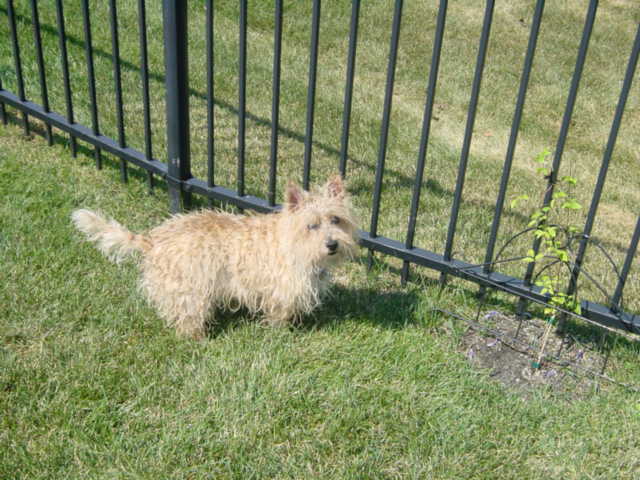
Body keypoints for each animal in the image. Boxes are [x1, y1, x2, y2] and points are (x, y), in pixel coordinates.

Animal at [74, 175, 360, 338]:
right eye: (312, 225)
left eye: (336, 219)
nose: (332, 244)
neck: (293, 242)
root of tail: (153, 240)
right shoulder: (280, 291)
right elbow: (279, 315)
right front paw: (281, 333)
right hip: (189, 289)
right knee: (187, 316)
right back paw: (197, 338)